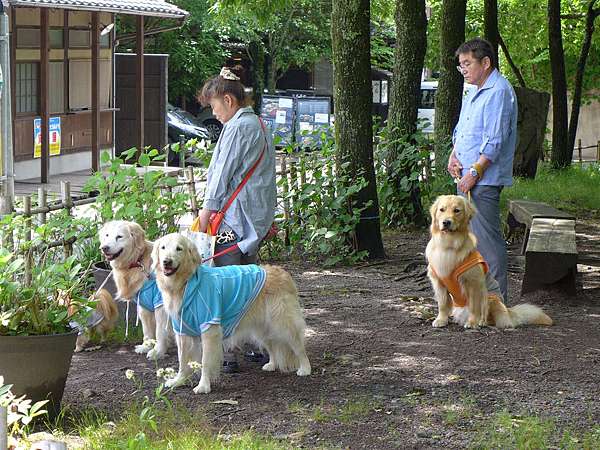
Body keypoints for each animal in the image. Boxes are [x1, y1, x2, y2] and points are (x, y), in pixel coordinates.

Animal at [98, 220, 173, 360]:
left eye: (119, 237)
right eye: (107, 235)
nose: (104, 247)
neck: (136, 262)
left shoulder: (160, 306)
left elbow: (160, 332)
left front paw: (157, 352)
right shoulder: (143, 306)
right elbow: (147, 331)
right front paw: (146, 346)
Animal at [152, 234, 312, 392]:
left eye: (179, 248)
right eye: (163, 247)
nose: (167, 262)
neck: (186, 283)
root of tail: (283, 273)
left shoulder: (209, 329)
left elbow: (205, 361)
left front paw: (203, 385)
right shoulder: (182, 331)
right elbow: (183, 359)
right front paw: (179, 380)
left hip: (283, 324)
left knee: (299, 347)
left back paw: (305, 369)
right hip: (262, 326)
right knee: (272, 346)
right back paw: (272, 364)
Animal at [424, 195, 552, 328]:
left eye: (457, 210)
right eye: (441, 210)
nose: (446, 222)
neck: (448, 245)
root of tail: (508, 311)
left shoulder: (473, 282)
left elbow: (474, 306)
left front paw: (472, 322)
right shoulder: (439, 281)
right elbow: (443, 304)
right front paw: (441, 320)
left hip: (491, 297)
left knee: (489, 317)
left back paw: (481, 322)